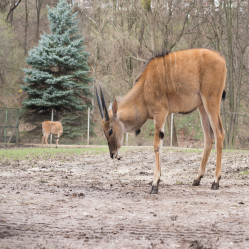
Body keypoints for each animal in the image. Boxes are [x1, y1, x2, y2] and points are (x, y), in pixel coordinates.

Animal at [96, 47, 227, 194]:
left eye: (110, 130)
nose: (112, 154)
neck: (144, 87)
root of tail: (221, 58)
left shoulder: (160, 113)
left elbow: (157, 145)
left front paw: (155, 184)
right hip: (202, 107)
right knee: (209, 137)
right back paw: (197, 178)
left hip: (211, 101)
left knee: (219, 133)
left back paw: (215, 181)